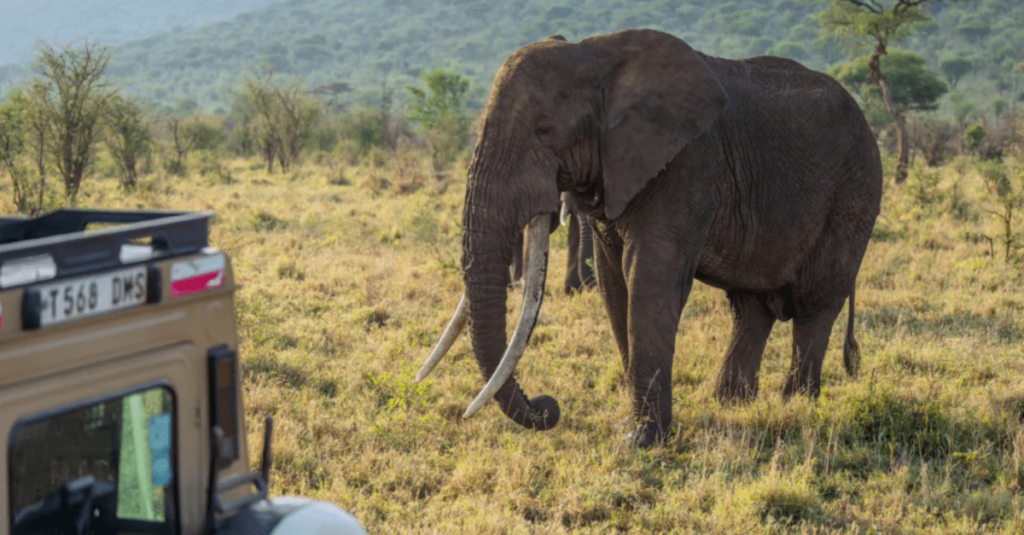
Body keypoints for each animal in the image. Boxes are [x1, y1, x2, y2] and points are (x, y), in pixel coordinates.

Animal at [416, 29, 882, 447]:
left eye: (545, 129)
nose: (547, 407)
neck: (594, 55)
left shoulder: (687, 165)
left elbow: (649, 281)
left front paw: (641, 440)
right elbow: (615, 285)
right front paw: (636, 427)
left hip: (853, 194)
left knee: (814, 303)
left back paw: (797, 406)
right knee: (750, 308)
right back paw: (732, 404)